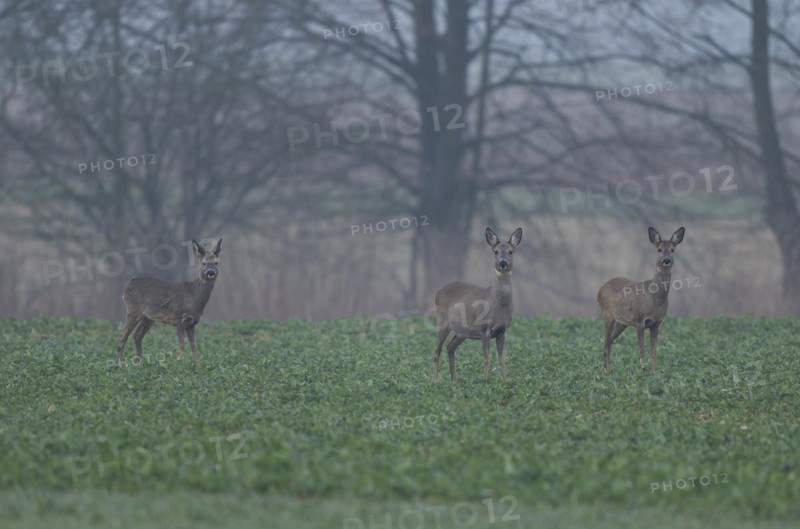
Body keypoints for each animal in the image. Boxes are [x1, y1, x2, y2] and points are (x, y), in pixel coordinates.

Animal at [115, 238, 222, 371]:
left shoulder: (192, 323)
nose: (210, 272)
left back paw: (140, 364)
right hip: (133, 310)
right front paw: (179, 366)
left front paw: (198, 368)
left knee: (137, 335)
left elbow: (194, 345)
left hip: (148, 317)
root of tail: (127, 287)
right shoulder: (179, 317)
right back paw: (118, 365)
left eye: (216, 263)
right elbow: (182, 344)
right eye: (203, 263)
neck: (193, 297)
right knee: (123, 335)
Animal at [432, 227, 522, 382]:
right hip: (443, 321)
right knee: (437, 348)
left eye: (511, 251)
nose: (503, 263)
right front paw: (484, 381)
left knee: (450, 347)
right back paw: (434, 381)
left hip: (462, 332)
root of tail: (438, 291)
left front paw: (505, 382)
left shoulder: (502, 331)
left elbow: (502, 359)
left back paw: (454, 380)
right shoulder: (483, 329)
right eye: (495, 251)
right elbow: (487, 358)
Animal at [597, 227, 685, 372]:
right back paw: (607, 371)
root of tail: (599, 290)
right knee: (605, 343)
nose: (666, 260)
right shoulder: (639, 320)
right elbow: (642, 350)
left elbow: (654, 351)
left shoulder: (656, 324)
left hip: (622, 322)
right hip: (607, 315)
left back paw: (607, 370)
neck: (654, 299)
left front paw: (653, 373)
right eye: (659, 249)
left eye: (672, 249)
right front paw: (642, 371)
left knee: (609, 342)